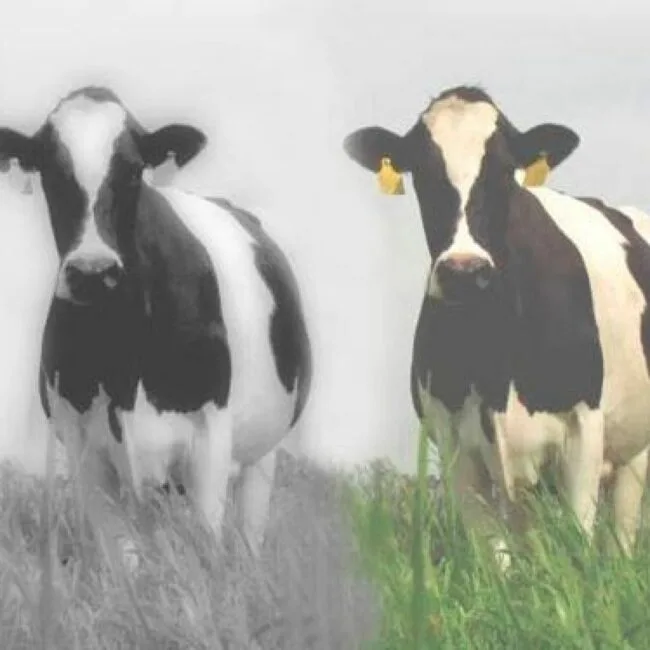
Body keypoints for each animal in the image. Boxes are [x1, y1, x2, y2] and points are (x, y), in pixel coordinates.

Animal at [0, 86, 312, 568]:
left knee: (247, 538)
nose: (92, 271)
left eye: (132, 171)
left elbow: (206, 551)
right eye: (50, 170)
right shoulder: (85, 450)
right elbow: (124, 565)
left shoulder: (209, 440)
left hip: (263, 454)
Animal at [342, 84, 650, 570]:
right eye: (421, 171)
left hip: (633, 453)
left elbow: (579, 545)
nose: (464, 271)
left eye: (506, 170)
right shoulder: (455, 442)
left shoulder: (584, 426)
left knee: (621, 535)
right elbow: (496, 565)